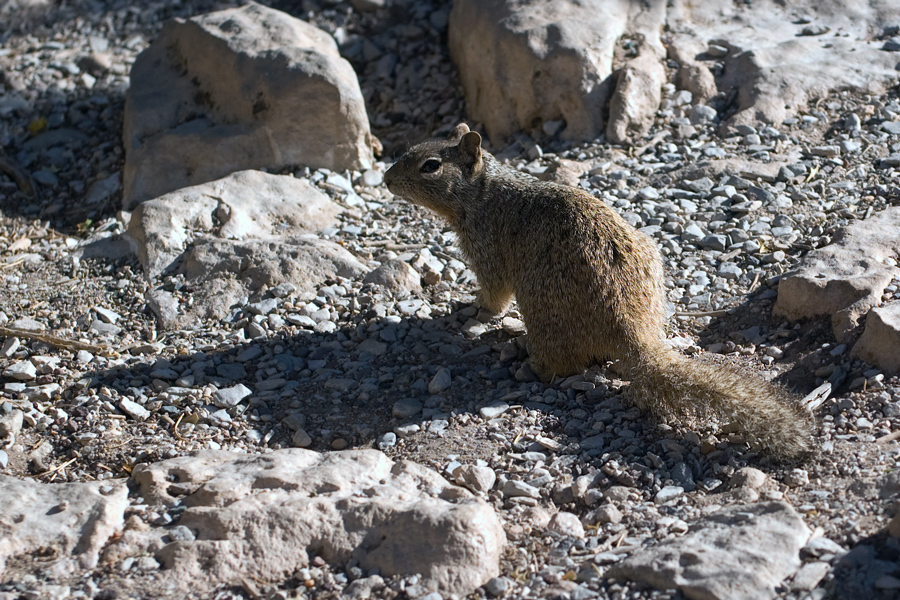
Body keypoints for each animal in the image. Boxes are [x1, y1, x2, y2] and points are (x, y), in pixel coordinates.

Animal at [386, 123, 816, 460]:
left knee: (562, 365)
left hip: (541, 310)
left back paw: (527, 362)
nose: (387, 180)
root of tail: (631, 330)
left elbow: (493, 295)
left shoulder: (485, 250)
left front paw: (472, 313)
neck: (483, 193)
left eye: (430, 165)